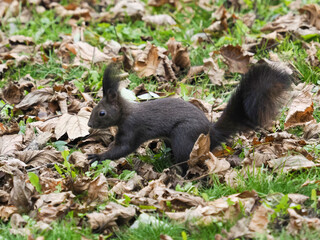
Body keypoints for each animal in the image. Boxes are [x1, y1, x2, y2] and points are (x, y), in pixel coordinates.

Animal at [87, 63, 292, 172]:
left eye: (102, 113)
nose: (89, 124)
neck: (125, 112)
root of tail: (210, 133)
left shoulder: (132, 129)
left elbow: (123, 149)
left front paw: (97, 156)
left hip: (183, 136)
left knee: (186, 161)